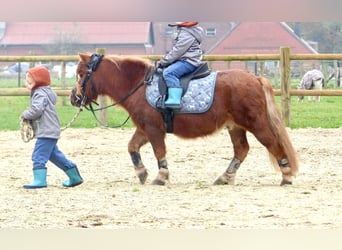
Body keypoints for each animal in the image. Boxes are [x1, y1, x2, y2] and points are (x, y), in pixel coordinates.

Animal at [71, 52, 298, 186]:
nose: (74, 97)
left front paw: (161, 177)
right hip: (235, 126)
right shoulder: (144, 129)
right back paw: (225, 177)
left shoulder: (154, 130)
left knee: (273, 143)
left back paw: (286, 175)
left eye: (81, 73)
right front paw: (141, 172)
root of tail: (255, 78)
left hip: (256, 124)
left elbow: (159, 152)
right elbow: (132, 147)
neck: (139, 85)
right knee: (241, 149)